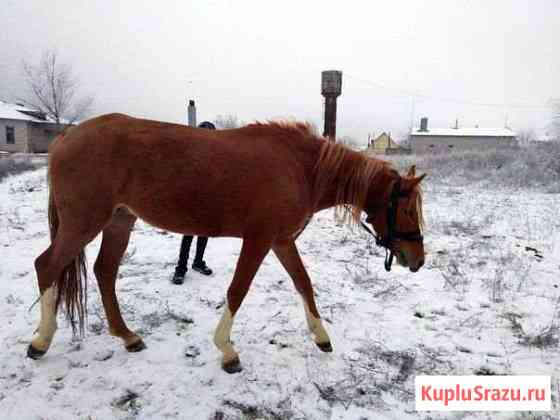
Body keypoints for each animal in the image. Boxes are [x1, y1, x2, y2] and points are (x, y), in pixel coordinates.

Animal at [26, 113, 424, 372]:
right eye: (406, 209)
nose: (417, 260)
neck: (299, 167)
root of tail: (66, 138)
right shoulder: (259, 240)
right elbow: (238, 290)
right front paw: (227, 351)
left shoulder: (281, 241)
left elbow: (303, 284)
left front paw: (321, 337)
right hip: (84, 222)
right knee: (47, 265)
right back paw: (40, 342)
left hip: (119, 222)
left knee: (104, 272)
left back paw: (128, 336)